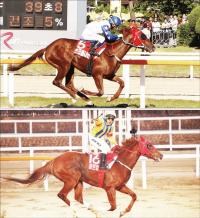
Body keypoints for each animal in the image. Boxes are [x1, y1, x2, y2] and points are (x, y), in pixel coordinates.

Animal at [1, 136, 162, 216]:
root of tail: (54, 161)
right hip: (70, 180)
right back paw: (78, 211)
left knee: (77, 198)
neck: (119, 162)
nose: (160, 155)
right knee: (62, 195)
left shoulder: (120, 186)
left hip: (78, 181)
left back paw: (88, 208)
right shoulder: (109, 188)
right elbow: (112, 206)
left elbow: (134, 196)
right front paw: (101, 211)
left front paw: (123, 212)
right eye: (149, 145)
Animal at [8, 25, 155, 103]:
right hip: (64, 65)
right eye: (143, 36)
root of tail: (48, 47)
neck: (112, 52)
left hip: (70, 67)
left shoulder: (109, 75)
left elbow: (122, 83)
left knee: (68, 83)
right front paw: (85, 91)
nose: (153, 47)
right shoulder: (97, 74)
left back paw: (82, 97)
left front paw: (111, 98)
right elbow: (100, 91)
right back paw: (75, 96)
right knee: (57, 82)